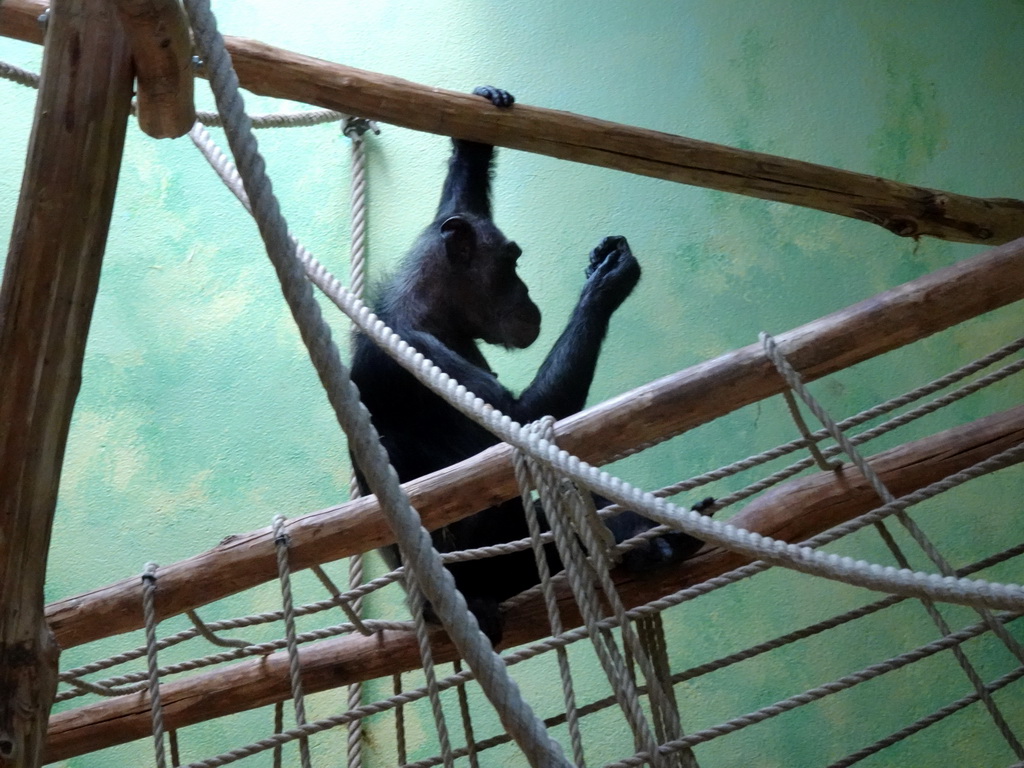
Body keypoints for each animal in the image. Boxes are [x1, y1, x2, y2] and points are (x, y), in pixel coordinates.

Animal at [352, 87, 712, 647]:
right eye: (512, 261)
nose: (527, 292)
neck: (433, 312)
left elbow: (459, 200)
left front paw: (478, 123)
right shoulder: (416, 356)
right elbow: (515, 429)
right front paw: (605, 285)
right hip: (492, 568)